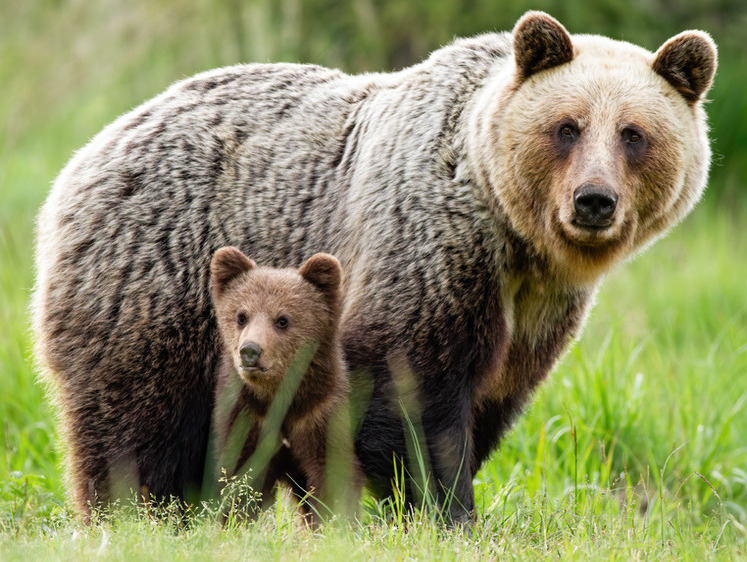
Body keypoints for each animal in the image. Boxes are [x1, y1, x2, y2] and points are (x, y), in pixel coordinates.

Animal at [209, 245, 360, 520]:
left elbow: (332, 476)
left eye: (282, 320)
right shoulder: (247, 417)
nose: (250, 351)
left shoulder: (319, 415)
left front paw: (334, 520)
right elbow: (241, 478)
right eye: (241, 316)